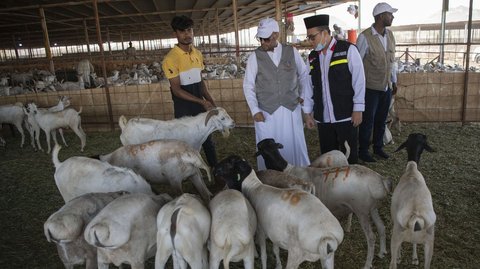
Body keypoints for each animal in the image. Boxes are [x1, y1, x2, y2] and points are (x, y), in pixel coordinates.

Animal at [215, 155, 344, 268]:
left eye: (229, 163)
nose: (215, 170)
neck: (253, 186)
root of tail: (327, 236)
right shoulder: (274, 232)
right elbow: (275, 249)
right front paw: (278, 265)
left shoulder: (261, 230)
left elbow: (264, 255)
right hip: (328, 257)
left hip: (295, 253)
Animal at [256, 138, 392, 268]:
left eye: (261, 149)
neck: (288, 170)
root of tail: (380, 180)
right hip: (372, 207)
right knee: (381, 227)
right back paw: (382, 252)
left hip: (362, 209)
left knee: (371, 238)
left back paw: (367, 264)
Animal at [390, 133, 436, 266]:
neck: (412, 170)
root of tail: (416, 217)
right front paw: (415, 258)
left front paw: (402, 257)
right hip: (430, 243)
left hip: (396, 236)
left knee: (392, 264)